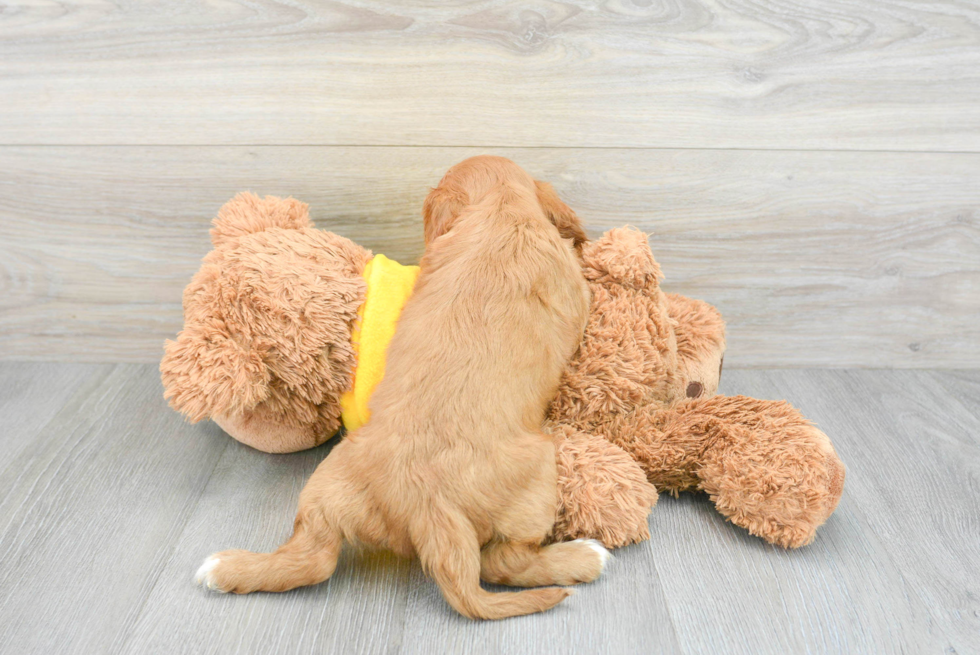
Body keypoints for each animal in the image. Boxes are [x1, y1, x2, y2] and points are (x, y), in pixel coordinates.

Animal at [194, 158, 600, 620]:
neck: (501, 210)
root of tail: (430, 508)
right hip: (539, 472)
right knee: (503, 562)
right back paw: (586, 557)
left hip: (329, 483)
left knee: (312, 558)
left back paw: (224, 569)